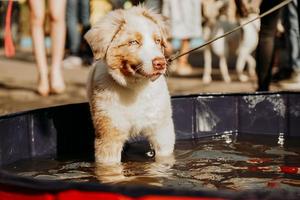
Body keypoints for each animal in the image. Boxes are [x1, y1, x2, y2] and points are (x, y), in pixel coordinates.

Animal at [83, 6, 175, 166]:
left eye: (157, 41)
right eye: (133, 42)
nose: (160, 63)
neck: (136, 88)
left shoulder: (162, 131)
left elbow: (163, 160)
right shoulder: (109, 134)